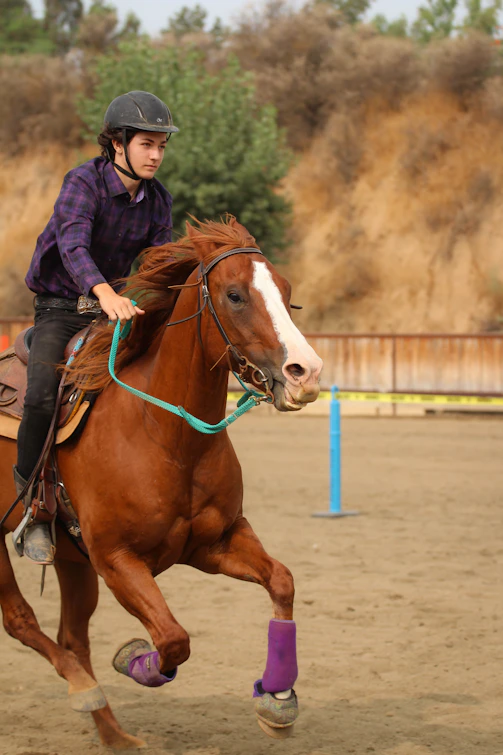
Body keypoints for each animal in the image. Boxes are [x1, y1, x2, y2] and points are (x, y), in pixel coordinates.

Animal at [0, 216, 323, 749]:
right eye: (235, 295)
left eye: (287, 291)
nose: (307, 372)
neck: (165, 434)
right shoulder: (117, 561)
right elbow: (173, 639)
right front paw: (134, 658)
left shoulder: (213, 543)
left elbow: (282, 580)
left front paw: (276, 698)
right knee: (23, 621)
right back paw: (85, 689)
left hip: (72, 560)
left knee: (72, 636)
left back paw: (114, 735)